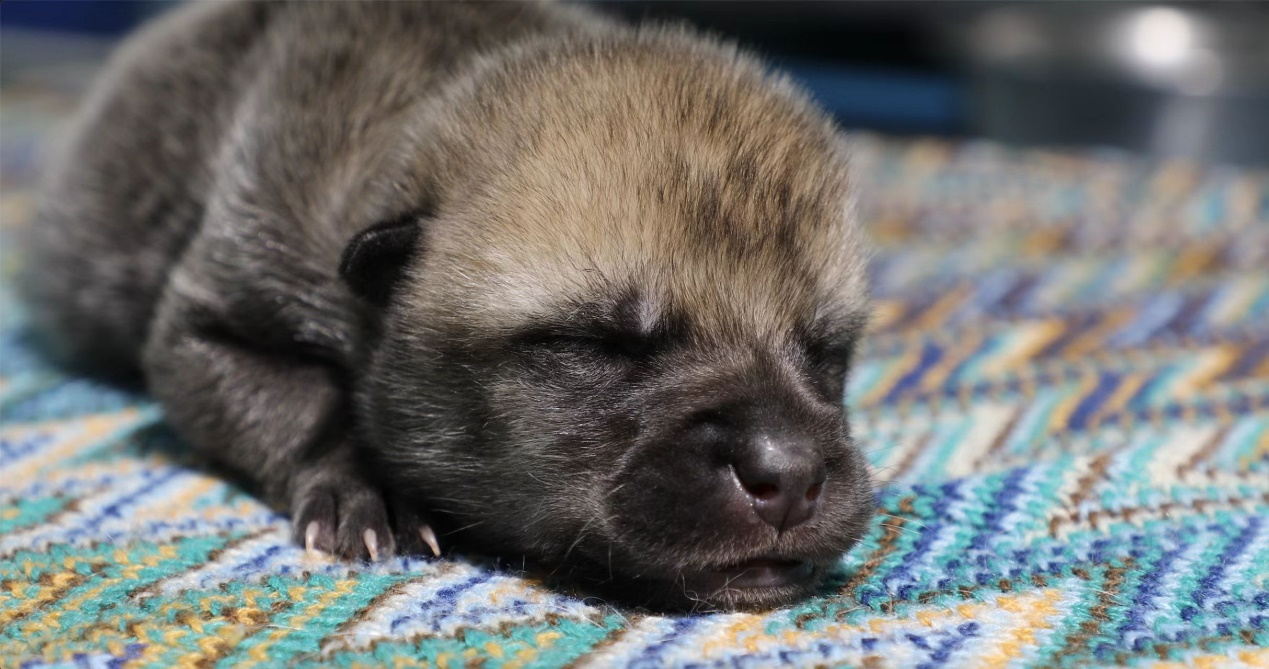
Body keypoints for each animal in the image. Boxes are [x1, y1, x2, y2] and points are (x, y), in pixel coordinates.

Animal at [17, 0, 873, 611]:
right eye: (599, 343)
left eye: (826, 351)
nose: (789, 474)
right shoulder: (215, 317)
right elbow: (299, 397)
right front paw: (363, 490)